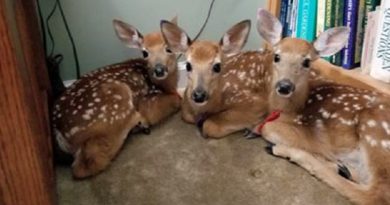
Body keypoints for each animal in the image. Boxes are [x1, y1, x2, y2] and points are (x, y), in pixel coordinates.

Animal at [51, 17, 181, 178]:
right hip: (116, 102)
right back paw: (138, 125)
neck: (166, 86)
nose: (159, 69)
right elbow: (176, 101)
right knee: (87, 164)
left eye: (168, 49)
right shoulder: (147, 100)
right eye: (145, 52)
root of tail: (58, 129)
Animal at [253, 8, 390, 205]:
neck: (291, 109)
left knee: (375, 194)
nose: (284, 86)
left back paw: (285, 151)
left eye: (307, 62)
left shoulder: (309, 134)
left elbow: (268, 128)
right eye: (276, 56)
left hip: (374, 130)